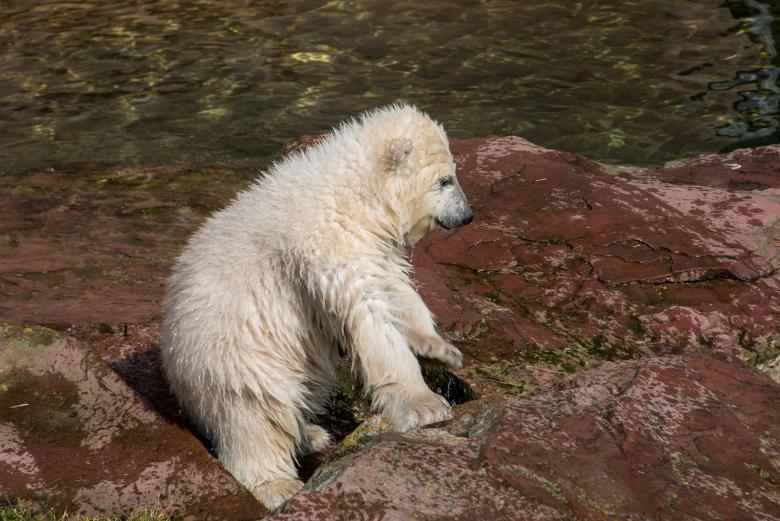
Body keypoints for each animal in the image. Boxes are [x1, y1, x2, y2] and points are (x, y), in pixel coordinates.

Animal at [160, 104, 473, 510]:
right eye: (444, 180)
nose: (467, 216)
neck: (354, 192)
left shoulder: (370, 242)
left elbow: (395, 287)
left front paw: (440, 349)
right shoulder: (330, 242)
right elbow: (370, 315)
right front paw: (425, 404)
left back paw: (311, 433)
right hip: (236, 356)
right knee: (257, 416)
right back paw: (279, 484)